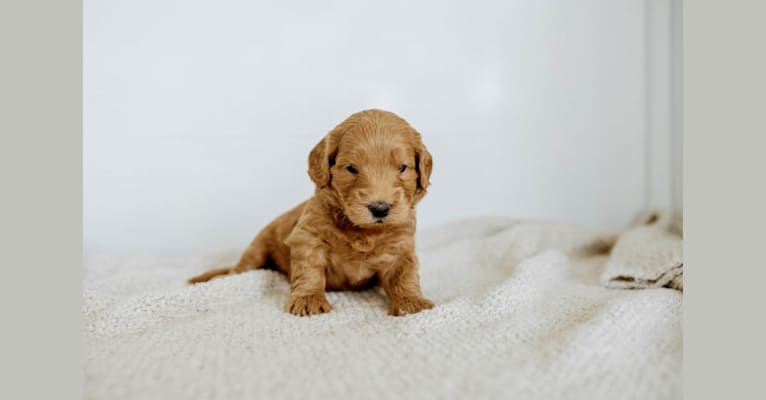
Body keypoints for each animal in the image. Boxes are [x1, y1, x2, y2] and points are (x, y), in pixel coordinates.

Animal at [188, 109, 436, 316]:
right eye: (351, 168)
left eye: (402, 167)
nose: (380, 208)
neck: (361, 230)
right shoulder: (308, 236)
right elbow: (309, 269)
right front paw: (308, 300)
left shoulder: (400, 245)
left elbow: (403, 274)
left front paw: (411, 302)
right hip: (257, 249)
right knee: (238, 271)